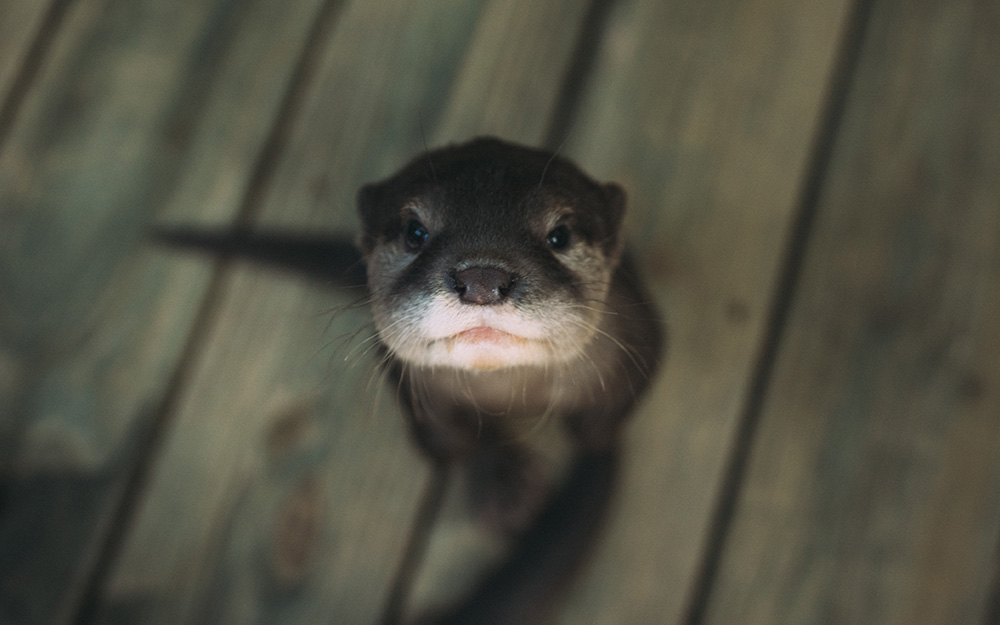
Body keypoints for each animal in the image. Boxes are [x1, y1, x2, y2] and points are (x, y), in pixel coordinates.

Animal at [154, 137, 664, 624]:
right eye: (414, 232)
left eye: (561, 234)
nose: (483, 278)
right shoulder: (418, 402)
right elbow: (458, 442)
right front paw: (505, 482)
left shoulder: (643, 340)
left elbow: (606, 420)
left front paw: (590, 438)